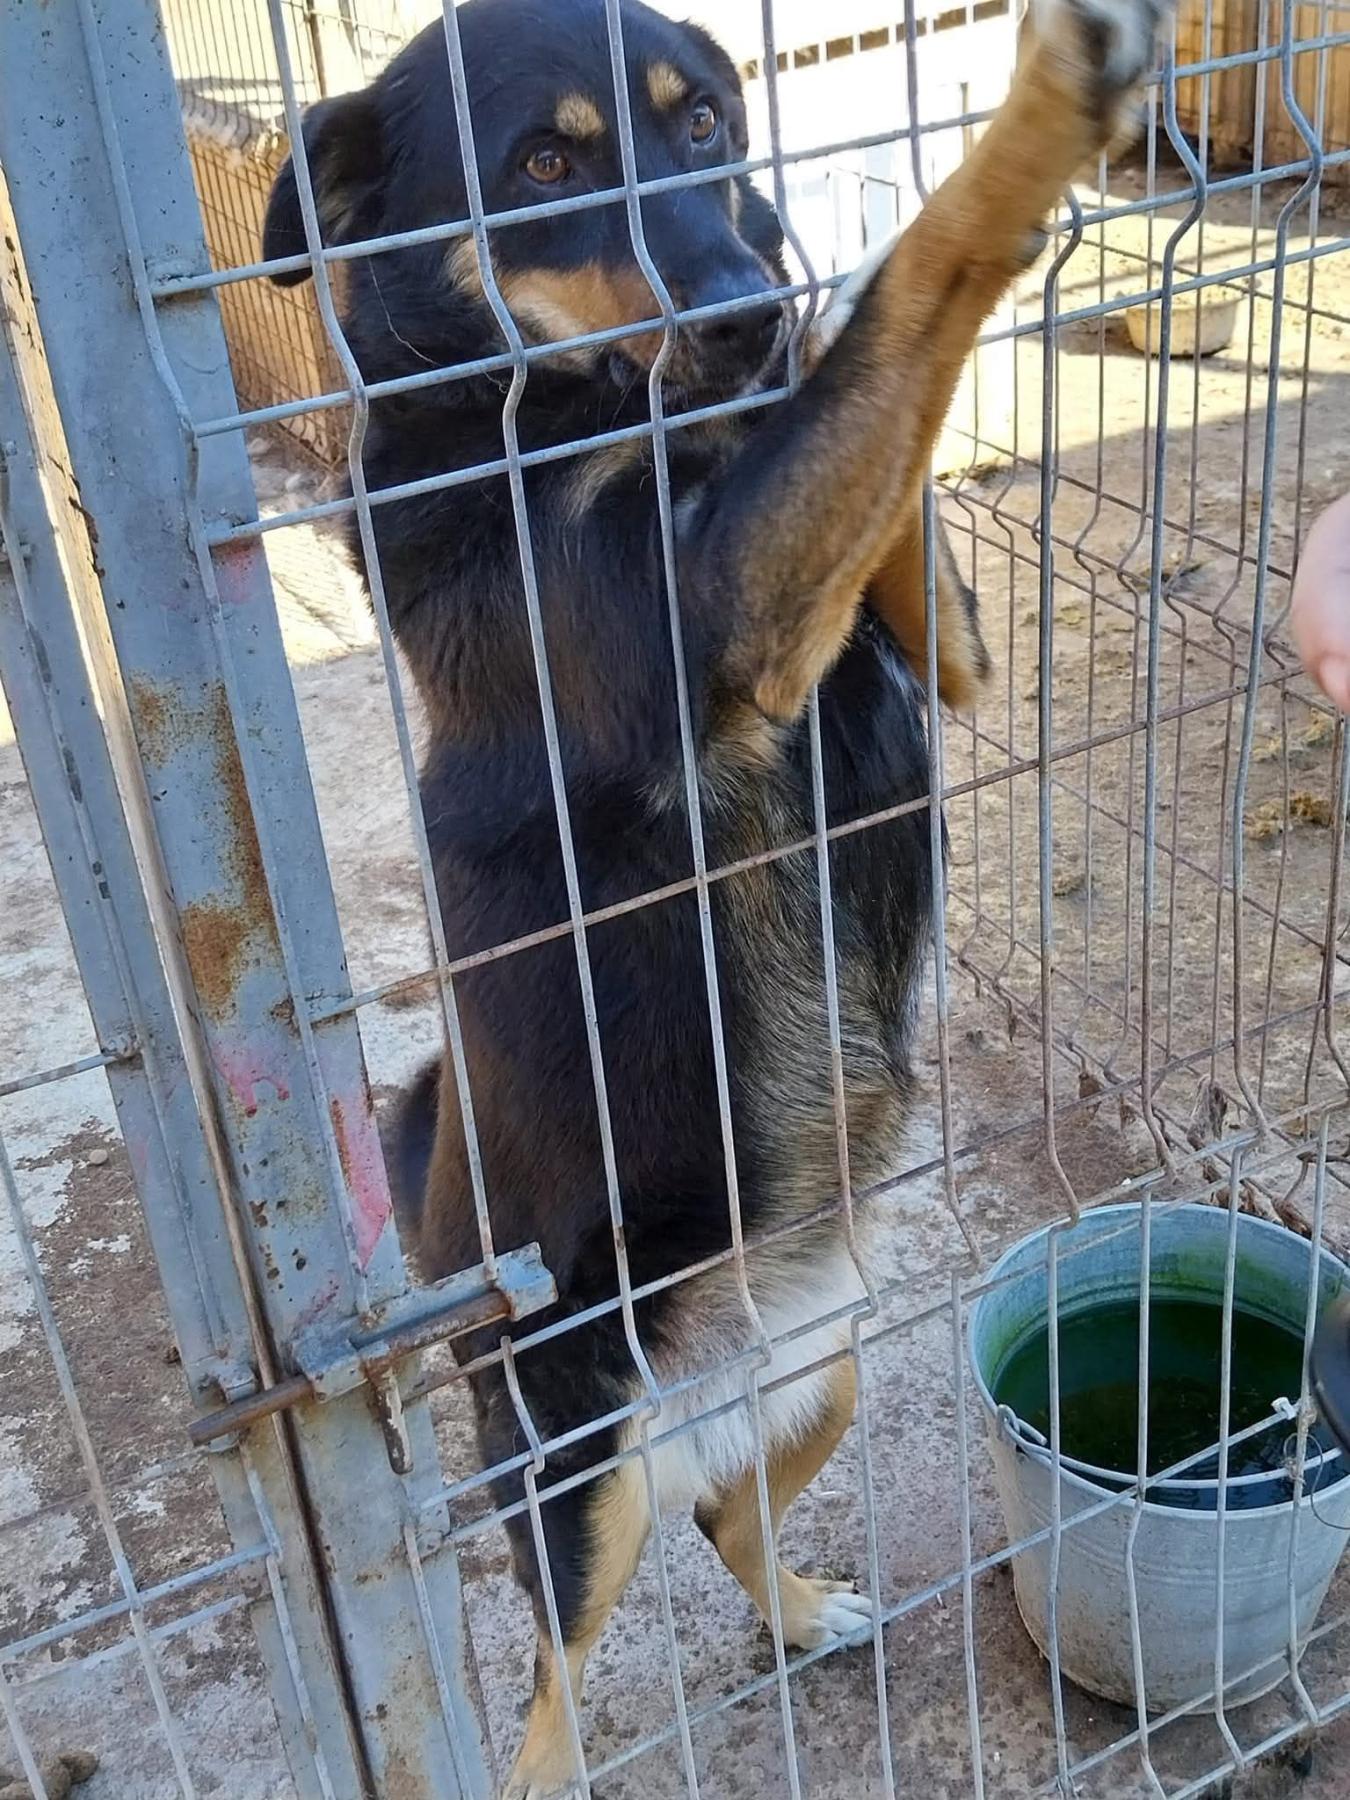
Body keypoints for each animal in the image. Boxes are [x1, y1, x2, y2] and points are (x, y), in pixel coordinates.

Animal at [264, 0, 1162, 1790]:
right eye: (546, 166)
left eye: (700, 127)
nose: (743, 307)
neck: (562, 408)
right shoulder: (727, 612)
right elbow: (910, 286)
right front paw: (1034, 113)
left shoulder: (926, 637)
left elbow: (881, 391)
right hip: (578, 1471)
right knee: (552, 1691)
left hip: (828, 1376)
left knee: (730, 1524)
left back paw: (804, 1610)